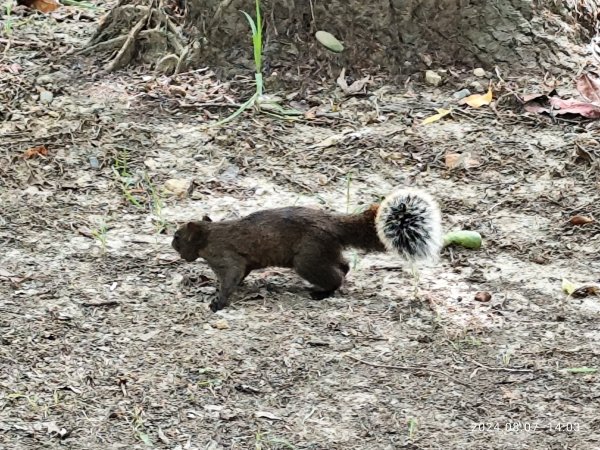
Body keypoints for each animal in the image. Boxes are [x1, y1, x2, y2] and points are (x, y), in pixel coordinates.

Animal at [171, 188, 442, 312]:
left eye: (177, 236)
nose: (172, 244)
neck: (210, 235)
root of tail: (333, 224)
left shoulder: (227, 257)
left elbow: (230, 278)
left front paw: (217, 302)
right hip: (323, 252)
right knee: (344, 265)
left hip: (307, 259)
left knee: (336, 276)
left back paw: (321, 293)